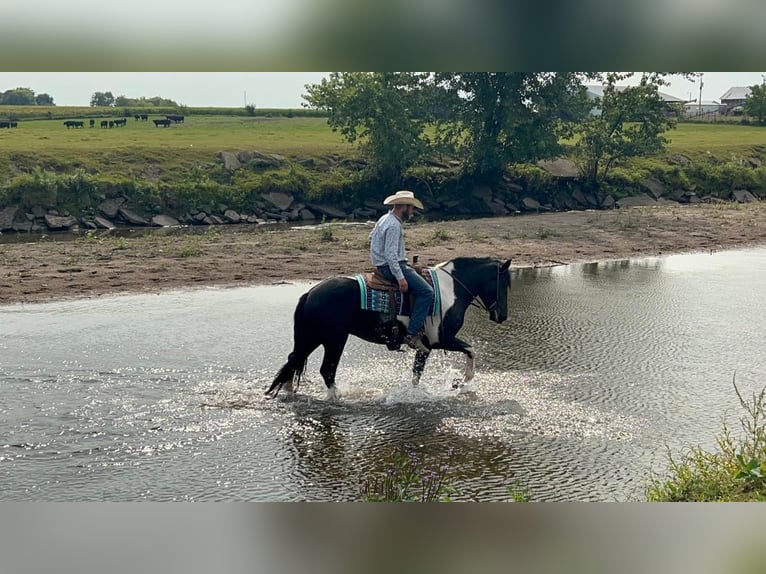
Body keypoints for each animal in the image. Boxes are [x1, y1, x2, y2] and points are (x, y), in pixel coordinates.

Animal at [268, 256, 512, 400]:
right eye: (503, 284)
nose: (502, 316)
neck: (449, 290)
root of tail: (310, 293)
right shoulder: (442, 339)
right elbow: (471, 350)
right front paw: (465, 381)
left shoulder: (425, 347)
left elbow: (416, 373)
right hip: (334, 340)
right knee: (326, 370)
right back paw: (338, 397)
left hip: (311, 338)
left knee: (293, 360)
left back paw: (289, 392)